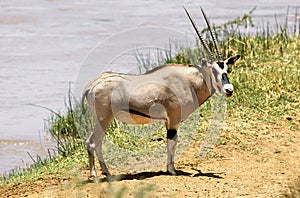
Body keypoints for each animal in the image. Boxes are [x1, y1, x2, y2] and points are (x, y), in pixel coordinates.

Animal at [81, 7, 239, 178]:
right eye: (214, 70)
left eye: (226, 69)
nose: (229, 89)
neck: (188, 80)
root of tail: (92, 85)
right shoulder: (174, 119)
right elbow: (172, 142)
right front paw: (172, 170)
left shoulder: (167, 121)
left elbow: (171, 143)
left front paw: (169, 168)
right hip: (103, 119)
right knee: (92, 142)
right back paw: (95, 174)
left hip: (103, 120)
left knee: (98, 143)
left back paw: (107, 172)